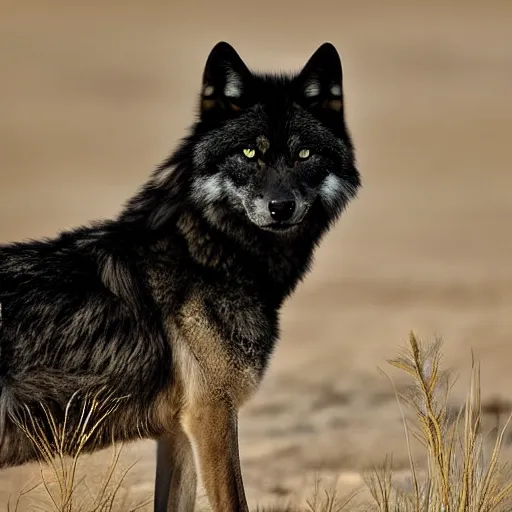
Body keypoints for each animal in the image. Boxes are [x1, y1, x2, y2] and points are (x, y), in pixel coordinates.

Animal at [0, 42, 360, 510]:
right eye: (249, 153)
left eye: (304, 155)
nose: (281, 207)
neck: (209, 252)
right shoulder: (212, 415)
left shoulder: (177, 434)